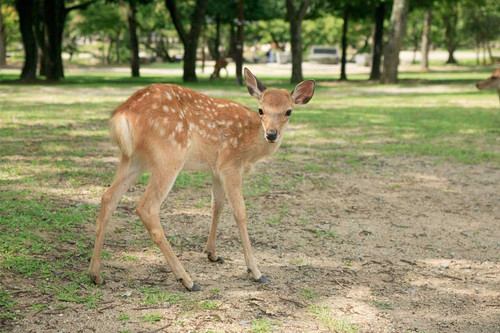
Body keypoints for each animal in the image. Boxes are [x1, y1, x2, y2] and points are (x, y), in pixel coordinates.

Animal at [88, 68, 314, 290]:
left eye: (288, 111)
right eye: (261, 110)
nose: (272, 134)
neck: (251, 146)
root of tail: (123, 113)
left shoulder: (216, 169)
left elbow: (217, 205)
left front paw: (212, 254)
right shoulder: (231, 165)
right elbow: (240, 211)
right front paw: (256, 271)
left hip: (134, 158)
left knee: (108, 197)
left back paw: (96, 274)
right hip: (169, 154)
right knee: (146, 207)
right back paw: (187, 280)